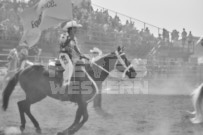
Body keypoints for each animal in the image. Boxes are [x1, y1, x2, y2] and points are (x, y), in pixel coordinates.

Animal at [1, 46, 136, 135]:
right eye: (124, 58)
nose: (133, 72)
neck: (91, 74)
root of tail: (23, 70)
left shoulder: (82, 103)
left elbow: (79, 117)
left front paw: (67, 131)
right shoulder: (82, 102)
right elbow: (84, 117)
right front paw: (70, 131)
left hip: (35, 95)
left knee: (22, 105)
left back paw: (25, 126)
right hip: (36, 95)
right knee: (24, 106)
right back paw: (35, 126)